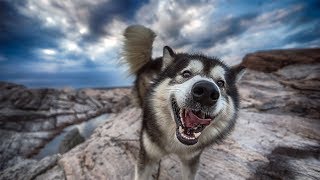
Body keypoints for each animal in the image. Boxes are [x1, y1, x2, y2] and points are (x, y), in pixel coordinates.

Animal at [122, 24, 245, 179]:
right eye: (186, 73)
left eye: (221, 83)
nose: (206, 91)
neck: (176, 144)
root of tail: (152, 60)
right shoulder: (147, 156)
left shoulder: (191, 160)